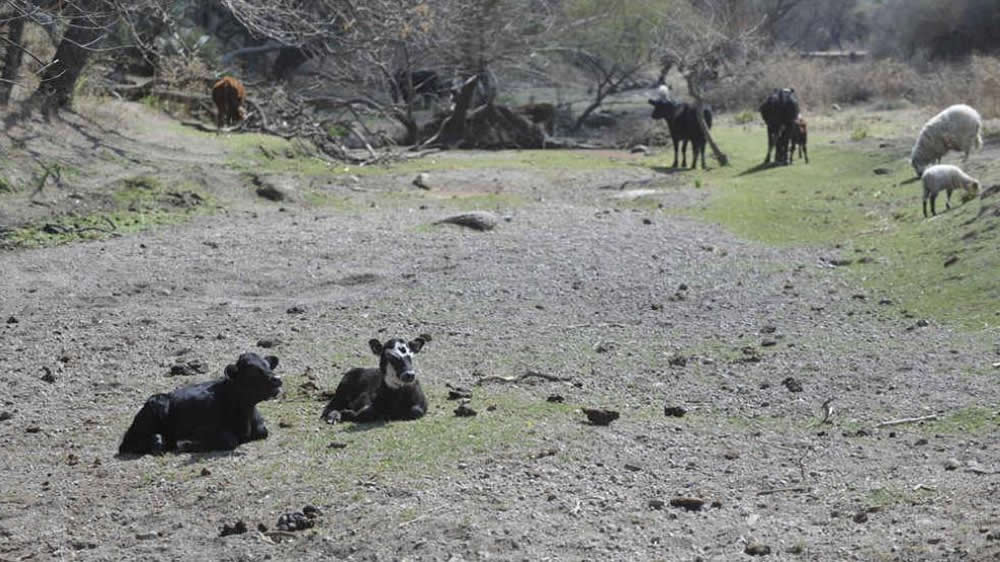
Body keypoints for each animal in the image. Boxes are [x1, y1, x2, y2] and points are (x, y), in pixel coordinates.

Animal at [123, 350, 286, 456]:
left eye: (268, 365)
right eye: (252, 371)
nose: (277, 380)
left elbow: (263, 431)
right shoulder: (202, 429)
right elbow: (230, 440)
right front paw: (188, 443)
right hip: (156, 404)